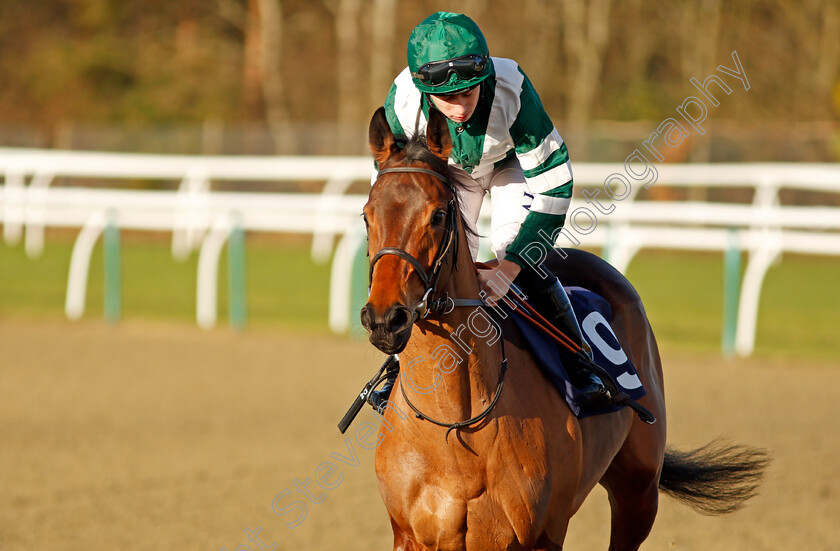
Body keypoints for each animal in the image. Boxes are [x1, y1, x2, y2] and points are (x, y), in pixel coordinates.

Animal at [360, 105, 768, 548]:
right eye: (366, 215)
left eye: (436, 215)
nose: (385, 318)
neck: (455, 426)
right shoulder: (410, 534)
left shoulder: (541, 534)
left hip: (639, 491)